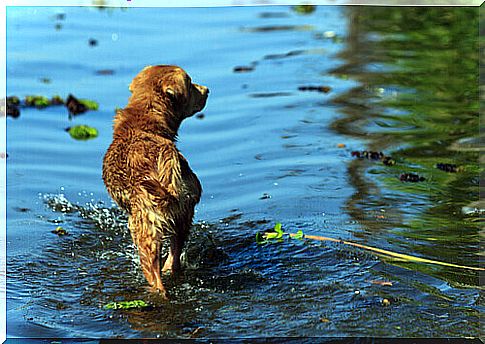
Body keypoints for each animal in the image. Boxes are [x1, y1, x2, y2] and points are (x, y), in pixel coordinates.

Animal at [102, 65, 208, 298]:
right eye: (190, 83)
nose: (207, 89)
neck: (146, 119)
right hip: (181, 216)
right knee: (174, 256)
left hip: (145, 233)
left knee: (157, 277)